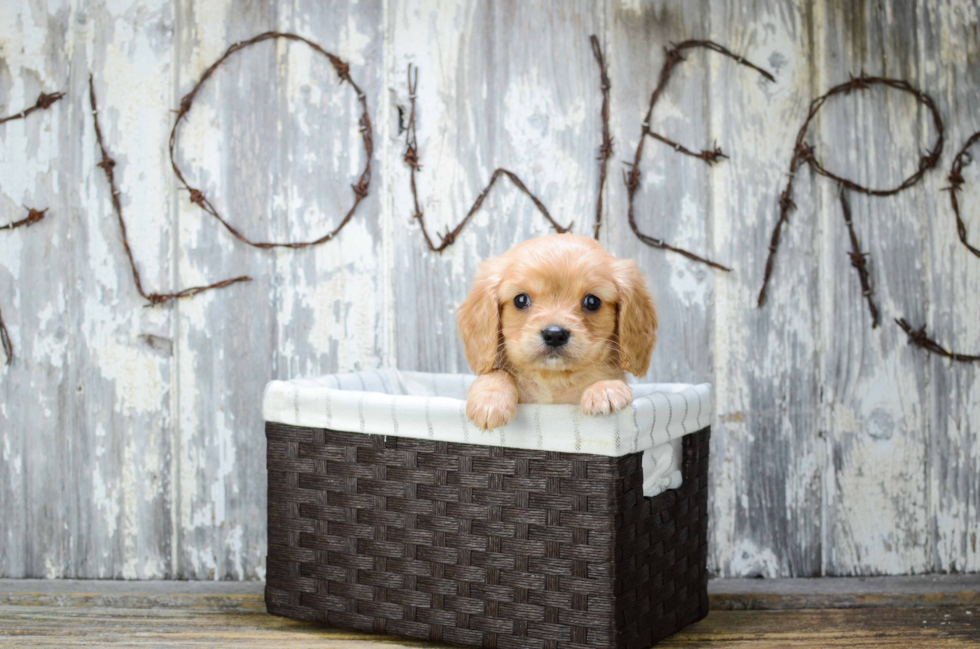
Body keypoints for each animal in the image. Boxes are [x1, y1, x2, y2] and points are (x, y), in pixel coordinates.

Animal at [458, 234, 660, 430]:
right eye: (520, 300)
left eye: (592, 302)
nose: (554, 335)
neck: (553, 379)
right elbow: (497, 373)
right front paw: (490, 399)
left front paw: (605, 389)